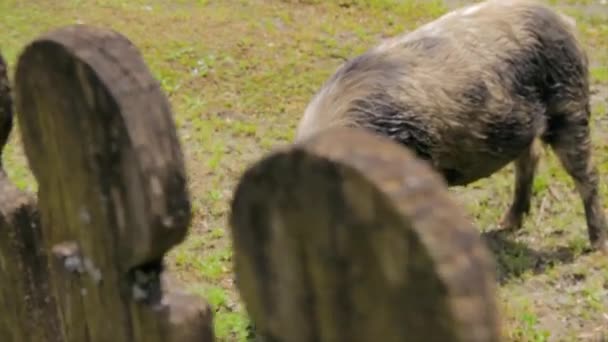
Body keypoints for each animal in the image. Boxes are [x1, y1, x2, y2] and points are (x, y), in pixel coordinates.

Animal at [292, 0, 604, 251]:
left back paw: (597, 245)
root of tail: (564, 20)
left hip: (570, 103)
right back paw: (506, 225)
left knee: (586, 173)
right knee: (531, 157)